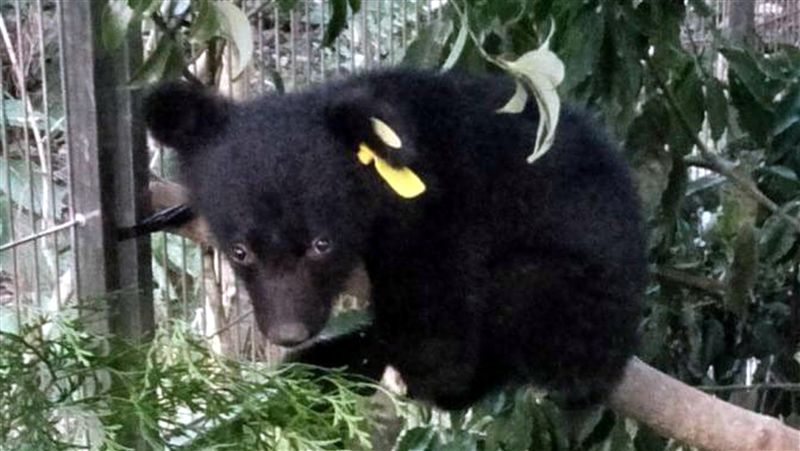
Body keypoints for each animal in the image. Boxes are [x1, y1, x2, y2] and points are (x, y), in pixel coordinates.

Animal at [144, 69, 646, 410]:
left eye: (322, 244)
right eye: (240, 251)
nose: (289, 332)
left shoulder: (444, 216)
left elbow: (436, 341)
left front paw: (328, 365)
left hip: (572, 296)